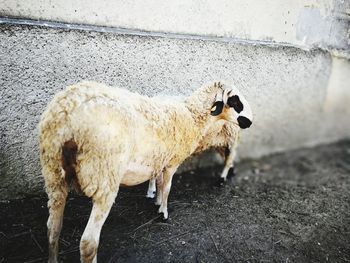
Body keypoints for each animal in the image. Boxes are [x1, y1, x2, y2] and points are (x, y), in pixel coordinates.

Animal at [39, 81, 252, 262]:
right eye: (234, 101)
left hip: (53, 174)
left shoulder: (160, 159)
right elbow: (167, 187)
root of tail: (67, 114)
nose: (249, 122)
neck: (192, 116)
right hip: (104, 177)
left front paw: (155, 200)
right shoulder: (172, 162)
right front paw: (163, 212)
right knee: (88, 243)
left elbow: (159, 182)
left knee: (52, 229)